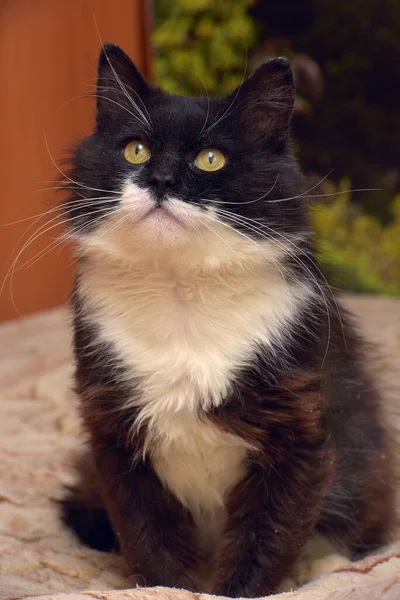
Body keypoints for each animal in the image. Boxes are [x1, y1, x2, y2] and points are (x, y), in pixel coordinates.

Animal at [61, 44, 392, 596]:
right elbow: (148, 538)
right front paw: (169, 587)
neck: (181, 295)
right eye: (135, 151)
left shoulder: (299, 430)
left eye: (210, 159)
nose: (162, 181)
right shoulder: (113, 432)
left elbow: (267, 538)